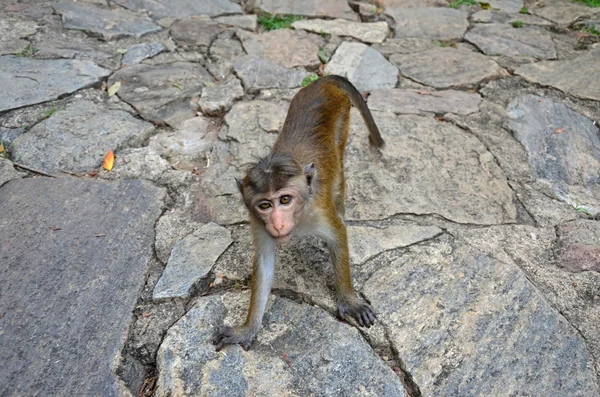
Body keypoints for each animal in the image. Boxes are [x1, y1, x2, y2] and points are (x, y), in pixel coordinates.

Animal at [213, 74, 386, 350]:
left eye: (285, 199)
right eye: (265, 205)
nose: (278, 224)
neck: (299, 216)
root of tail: (322, 82)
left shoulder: (319, 211)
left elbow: (338, 236)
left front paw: (350, 301)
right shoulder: (257, 222)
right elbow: (264, 262)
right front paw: (247, 330)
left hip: (343, 118)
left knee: (338, 171)